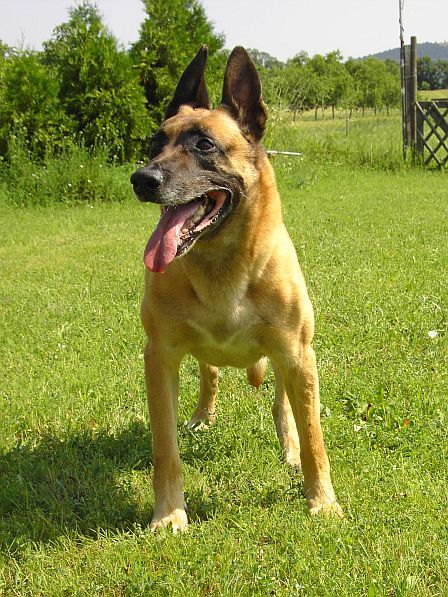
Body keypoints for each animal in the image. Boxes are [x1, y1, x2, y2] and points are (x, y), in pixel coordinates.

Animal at [130, 46, 342, 532]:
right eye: (155, 144)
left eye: (204, 145)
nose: (142, 179)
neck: (222, 264)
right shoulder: (160, 357)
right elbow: (164, 448)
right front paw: (169, 513)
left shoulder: (298, 353)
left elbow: (314, 438)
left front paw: (322, 502)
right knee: (208, 374)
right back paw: (201, 416)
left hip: (289, 356)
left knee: (284, 406)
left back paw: (288, 447)